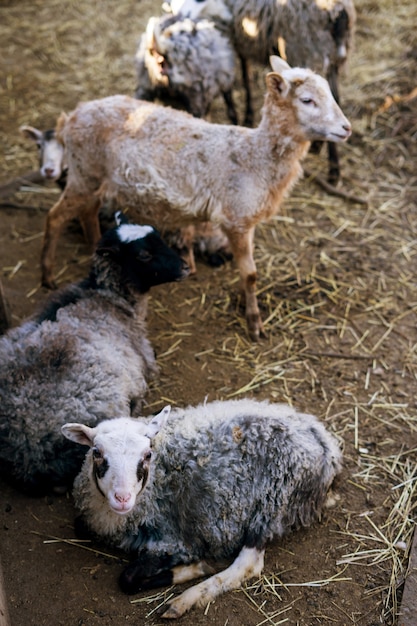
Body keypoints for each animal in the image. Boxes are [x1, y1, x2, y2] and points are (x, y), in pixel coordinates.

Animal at [0, 214, 188, 492]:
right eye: (143, 255)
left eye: (159, 236)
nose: (185, 267)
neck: (107, 296)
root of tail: (22, 449)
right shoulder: (147, 360)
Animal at [39, 57, 352, 342]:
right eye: (307, 100)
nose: (347, 128)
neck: (256, 156)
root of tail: (73, 115)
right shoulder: (236, 219)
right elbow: (250, 274)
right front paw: (254, 324)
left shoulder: (246, 220)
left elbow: (247, 272)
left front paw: (244, 302)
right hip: (84, 171)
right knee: (55, 216)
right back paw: (47, 275)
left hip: (93, 177)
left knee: (87, 212)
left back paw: (98, 249)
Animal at [61, 398, 342, 616]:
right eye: (97, 452)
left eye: (147, 455)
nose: (122, 498)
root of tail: (325, 444)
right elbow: (79, 527)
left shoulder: (172, 542)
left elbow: (128, 580)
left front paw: (193, 569)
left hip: (272, 501)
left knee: (248, 565)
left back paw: (184, 600)